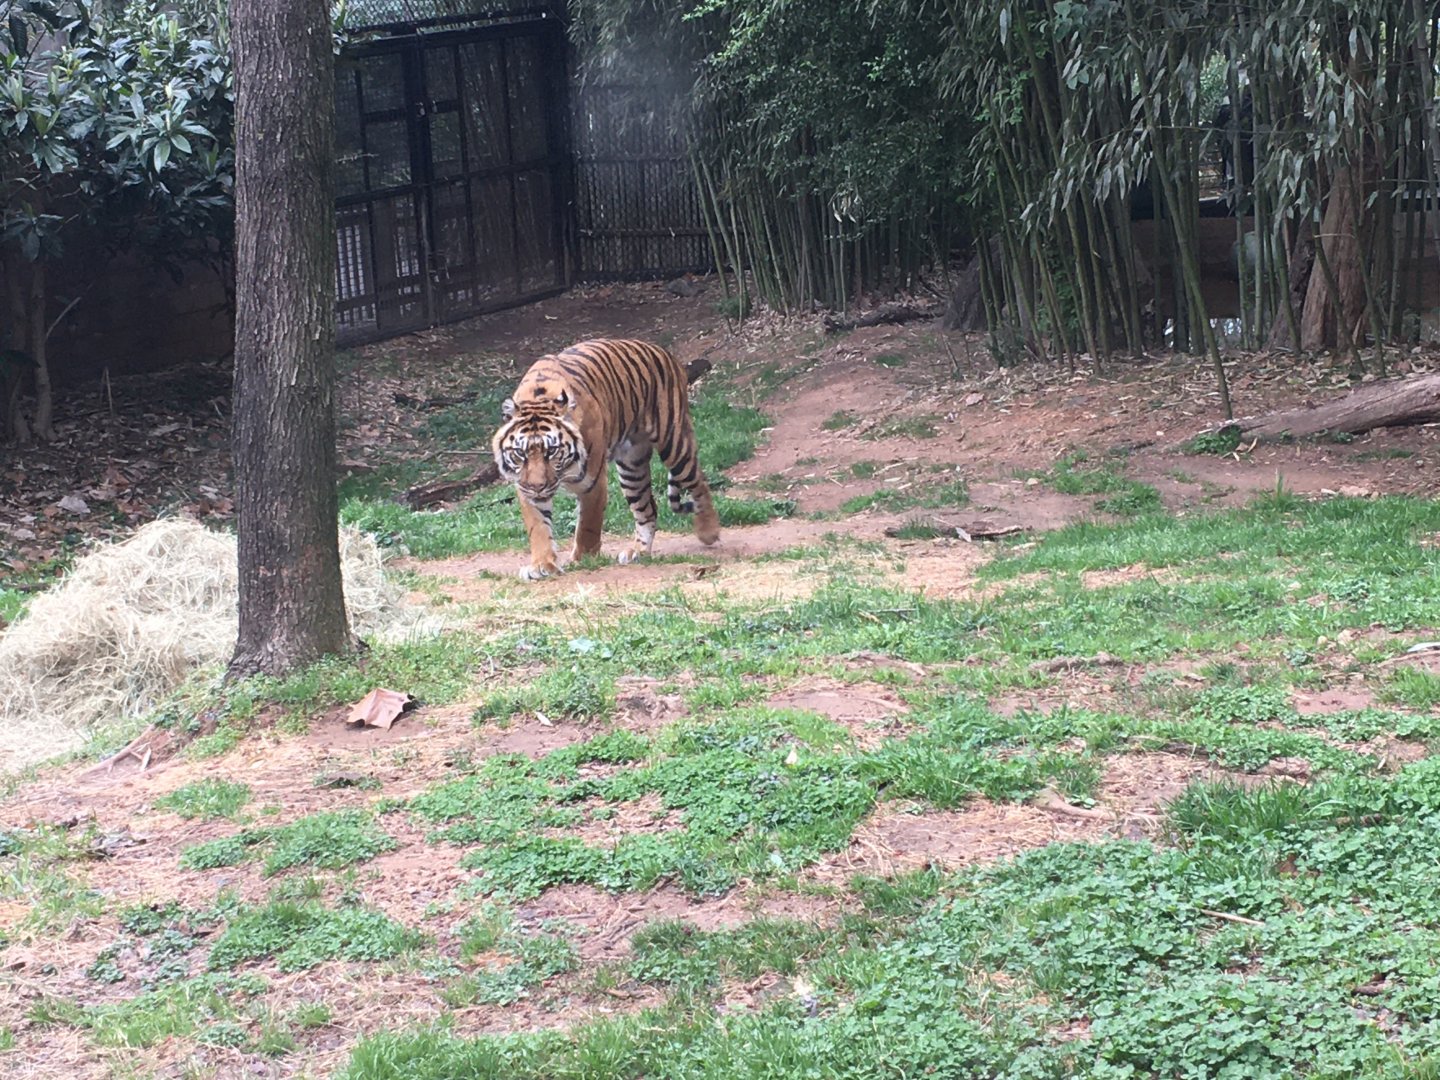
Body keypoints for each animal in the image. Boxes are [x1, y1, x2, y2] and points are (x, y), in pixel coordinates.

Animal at [491, 339, 722, 581]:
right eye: (521, 453)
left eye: (551, 451)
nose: (537, 487)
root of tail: (663, 352)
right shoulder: (525, 487)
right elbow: (538, 528)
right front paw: (542, 565)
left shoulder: (592, 481)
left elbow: (588, 525)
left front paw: (583, 559)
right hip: (632, 469)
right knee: (648, 509)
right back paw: (638, 552)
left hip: (674, 443)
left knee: (698, 481)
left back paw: (708, 531)